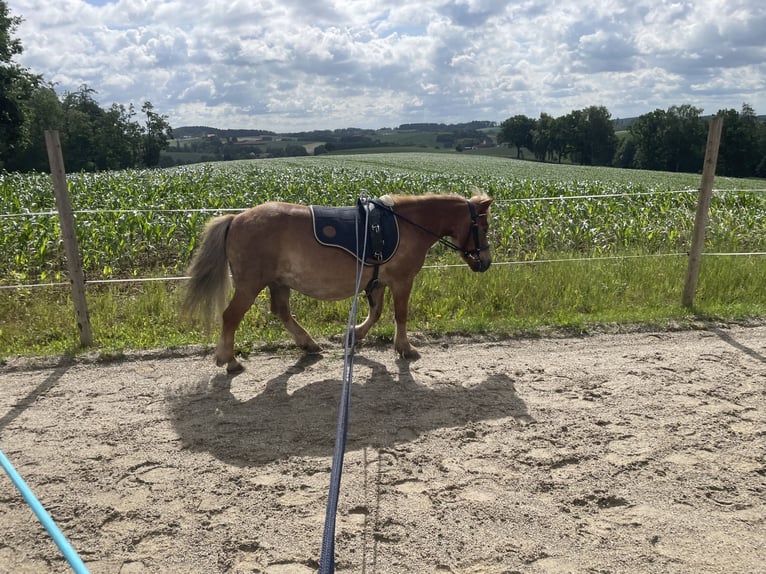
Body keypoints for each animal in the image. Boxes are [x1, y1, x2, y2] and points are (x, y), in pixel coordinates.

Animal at [183, 192, 493, 373]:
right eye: (484, 226)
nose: (486, 261)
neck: (407, 224)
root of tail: (236, 218)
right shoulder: (402, 280)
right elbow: (400, 314)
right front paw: (405, 348)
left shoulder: (377, 281)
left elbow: (376, 312)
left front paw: (353, 334)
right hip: (250, 285)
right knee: (231, 317)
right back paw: (229, 359)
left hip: (278, 282)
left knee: (281, 311)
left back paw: (308, 343)